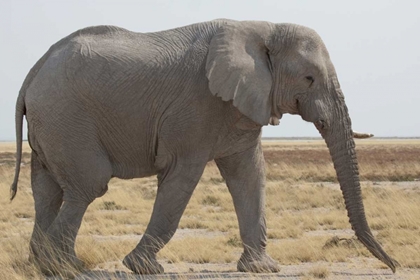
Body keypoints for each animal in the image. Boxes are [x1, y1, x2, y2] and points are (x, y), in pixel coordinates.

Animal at [10, 20, 398, 276]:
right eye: (309, 78)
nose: (393, 265)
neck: (263, 29)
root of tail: (33, 72)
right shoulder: (196, 107)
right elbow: (182, 177)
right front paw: (145, 267)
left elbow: (249, 175)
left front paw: (262, 268)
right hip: (66, 117)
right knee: (87, 186)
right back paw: (65, 268)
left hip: (52, 124)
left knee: (48, 191)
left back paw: (43, 264)